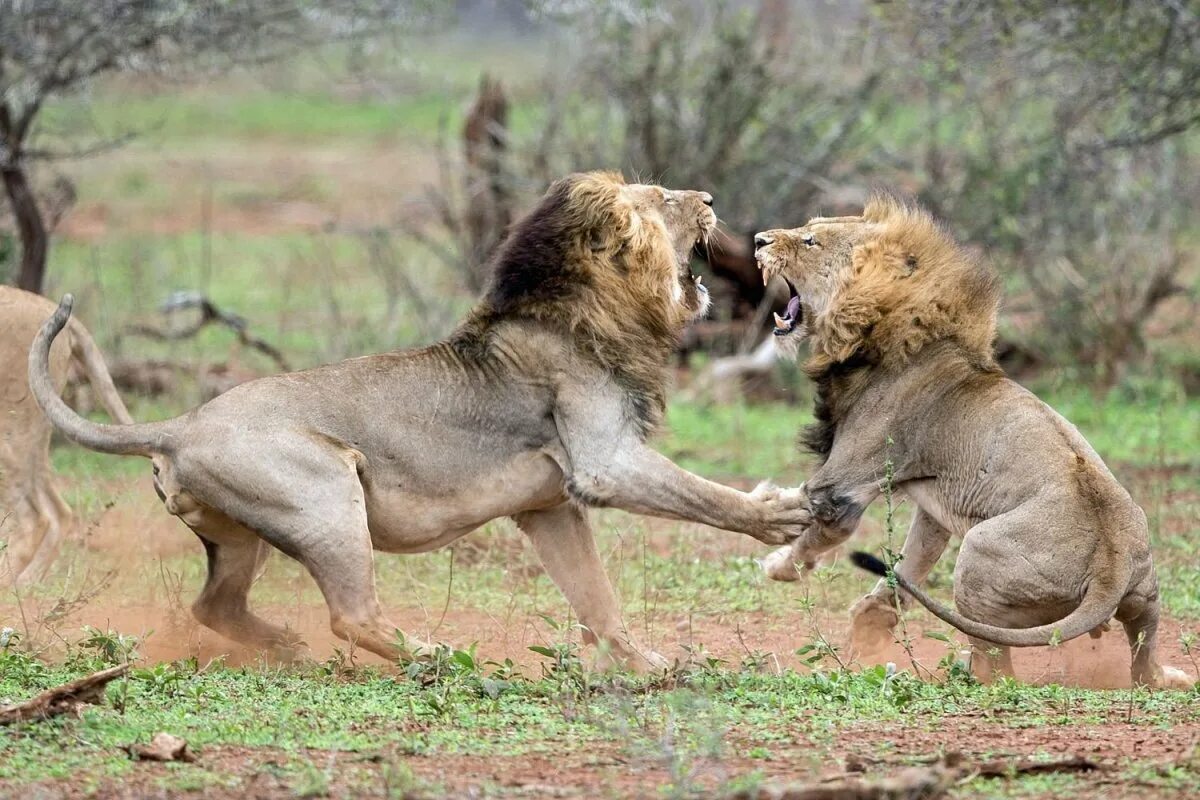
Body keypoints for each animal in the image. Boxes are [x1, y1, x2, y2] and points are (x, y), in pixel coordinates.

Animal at [30, 173, 806, 671]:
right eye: (663, 199)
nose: (710, 200)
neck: (593, 308)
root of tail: (179, 424)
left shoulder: (550, 506)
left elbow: (597, 597)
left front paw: (648, 664)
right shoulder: (603, 462)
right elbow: (704, 494)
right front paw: (781, 514)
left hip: (241, 535)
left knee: (212, 607)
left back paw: (285, 646)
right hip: (327, 495)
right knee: (351, 614)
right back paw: (434, 655)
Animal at [753, 194, 1185, 690]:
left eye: (810, 240)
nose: (759, 240)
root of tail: (1110, 567)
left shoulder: (842, 484)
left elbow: (814, 530)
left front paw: (777, 563)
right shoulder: (932, 504)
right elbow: (911, 564)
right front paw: (869, 624)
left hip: (978, 555)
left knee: (997, 668)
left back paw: (957, 673)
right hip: (1146, 597)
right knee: (1142, 659)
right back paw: (1169, 676)